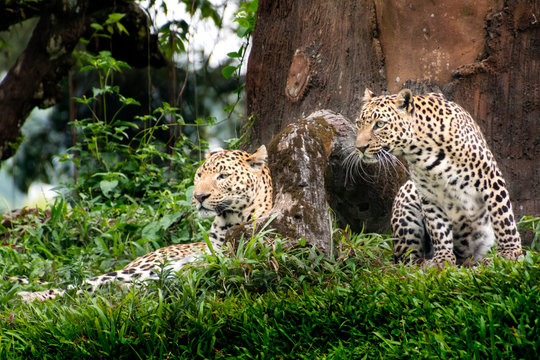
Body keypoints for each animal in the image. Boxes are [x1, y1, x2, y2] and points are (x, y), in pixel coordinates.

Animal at [15, 146, 274, 300]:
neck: (227, 221)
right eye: (199, 175)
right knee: (81, 285)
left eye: (223, 176)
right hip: (143, 266)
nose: (199, 196)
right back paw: (28, 295)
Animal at [352, 87, 520, 268]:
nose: (360, 148)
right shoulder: (429, 195)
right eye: (359, 124)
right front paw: (442, 259)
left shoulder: (490, 178)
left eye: (380, 124)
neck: (421, 151)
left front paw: (510, 253)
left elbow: (503, 218)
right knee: (406, 260)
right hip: (407, 197)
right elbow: (438, 228)